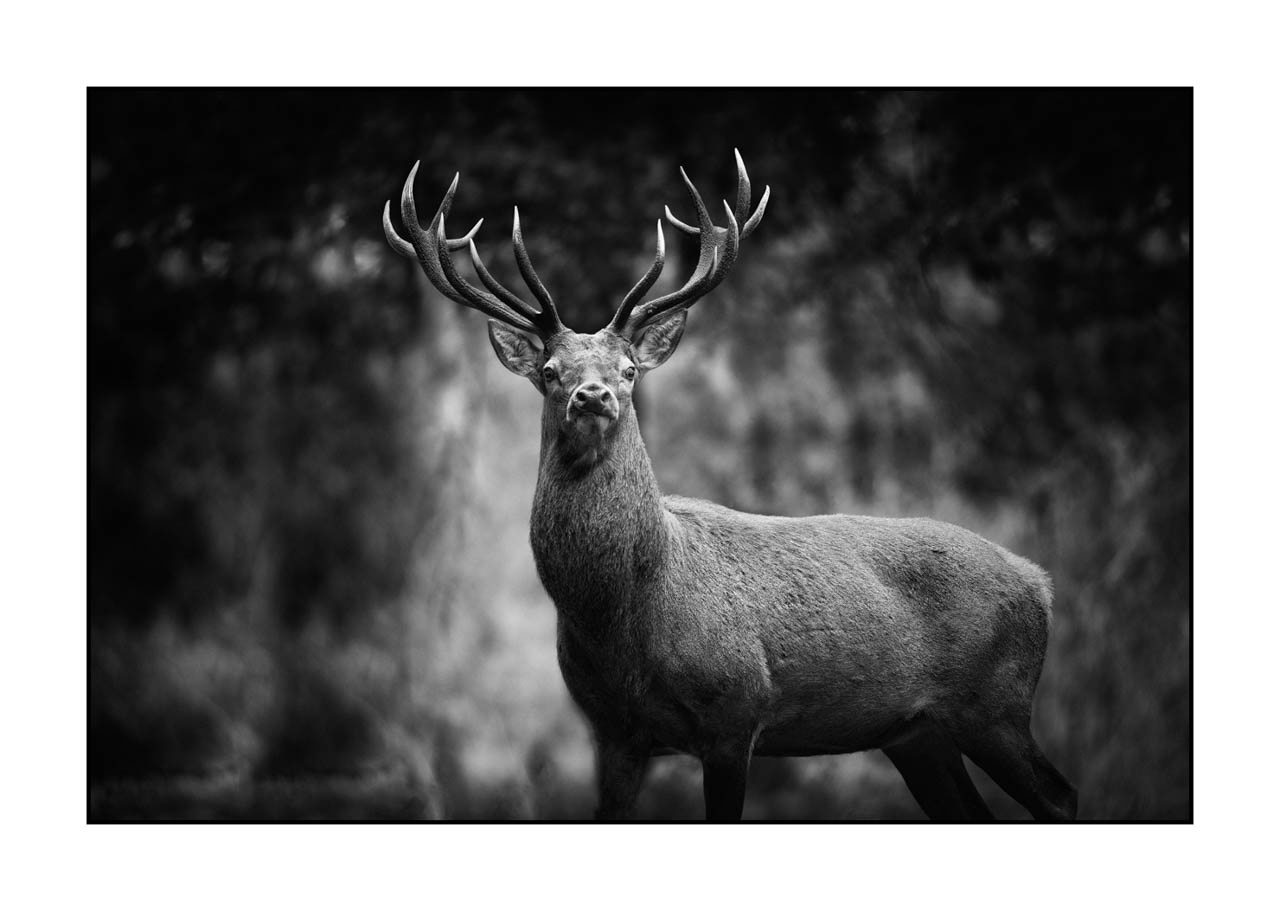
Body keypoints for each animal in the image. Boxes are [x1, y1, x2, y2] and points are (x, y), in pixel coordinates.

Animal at [382, 151, 1078, 821]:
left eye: (628, 369)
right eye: (550, 371)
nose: (593, 394)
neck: (623, 624)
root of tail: (1038, 582)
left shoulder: (735, 713)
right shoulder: (613, 732)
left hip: (995, 704)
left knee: (1060, 796)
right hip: (919, 734)